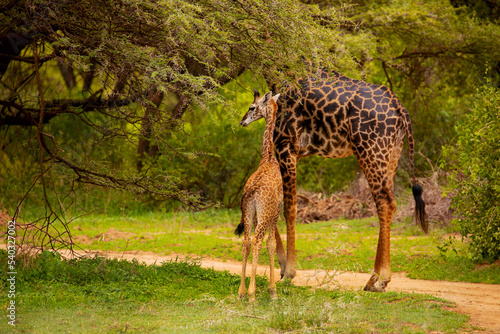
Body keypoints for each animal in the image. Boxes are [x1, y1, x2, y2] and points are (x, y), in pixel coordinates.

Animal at [246, 66, 426, 290]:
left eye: (252, 107)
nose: (243, 121)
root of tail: (400, 109)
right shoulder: (288, 152)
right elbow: (276, 206)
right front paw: (282, 267)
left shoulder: (286, 147)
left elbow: (289, 208)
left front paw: (288, 273)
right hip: (392, 152)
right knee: (389, 203)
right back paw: (374, 280)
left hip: (370, 150)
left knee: (384, 202)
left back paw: (379, 279)